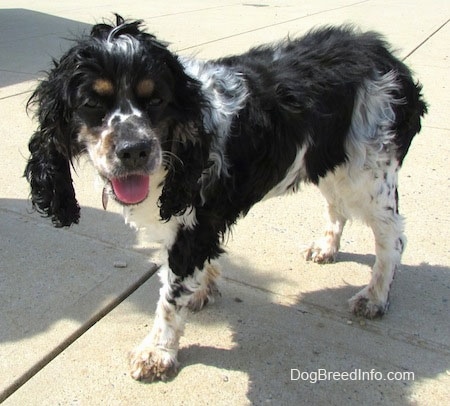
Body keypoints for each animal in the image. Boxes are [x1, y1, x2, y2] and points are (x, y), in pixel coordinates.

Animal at [24, 15, 426, 380]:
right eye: (92, 102)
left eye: (156, 99)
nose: (134, 150)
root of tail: (381, 52)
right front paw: (203, 290)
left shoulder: (191, 228)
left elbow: (169, 298)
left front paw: (157, 351)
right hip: (329, 160)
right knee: (336, 207)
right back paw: (326, 247)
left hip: (368, 175)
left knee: (393, 237)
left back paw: (375, 296)